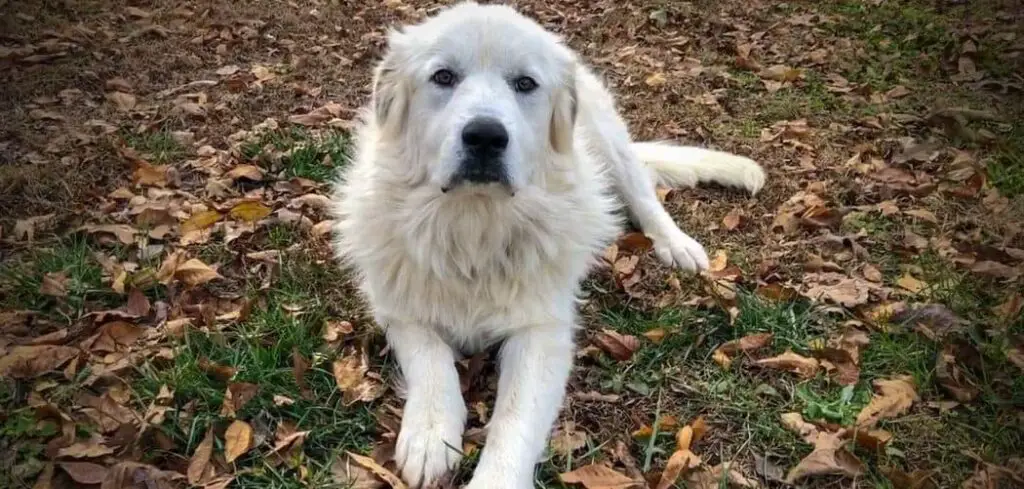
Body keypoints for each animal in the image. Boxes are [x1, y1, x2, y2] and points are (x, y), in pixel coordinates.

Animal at [331, 1, 765, 486]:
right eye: (443, 77)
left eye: (525, 84)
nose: (485, 136)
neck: (474, 224)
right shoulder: (398, 308)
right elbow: (431, 361)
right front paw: (429, 435)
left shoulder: (541, 333)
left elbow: (513, 423)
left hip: (610, 144)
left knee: (644, 196)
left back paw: (677, 245)